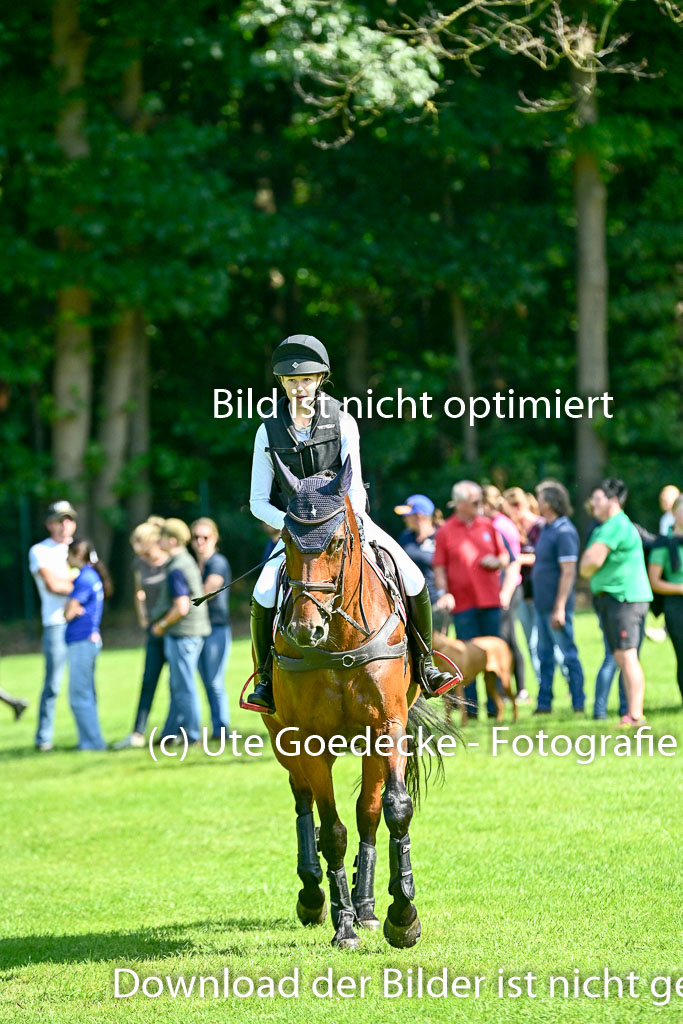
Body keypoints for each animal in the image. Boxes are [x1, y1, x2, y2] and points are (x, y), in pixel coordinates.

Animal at [253, 455, 456, 950]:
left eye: (339, 540)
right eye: (286, 539)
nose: (305, 630)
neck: (340, 638)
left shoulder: (387, 728)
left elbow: (394, 811)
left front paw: (402, 916)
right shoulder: (309, 741)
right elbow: (332, 832)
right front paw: (342, 924)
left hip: (368, 745)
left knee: (368, 812)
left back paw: (365, 907)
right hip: (283, 740)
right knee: (303, 801)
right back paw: (315, 896)